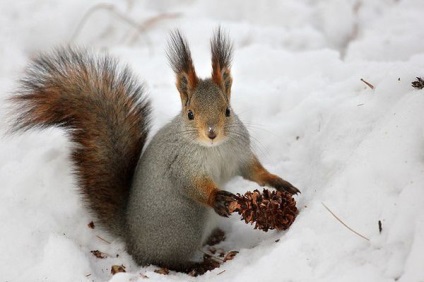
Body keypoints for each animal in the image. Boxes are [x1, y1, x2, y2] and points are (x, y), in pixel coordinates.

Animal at [9, 28, 298, 270]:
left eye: (227, 111)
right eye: (190, 114)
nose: (212, 133)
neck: (213, 149)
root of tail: (132, 239)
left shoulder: (239, 154)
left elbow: (254, 171)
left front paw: (279, 182)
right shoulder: (181, 164)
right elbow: (191, 184)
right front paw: (217, 197)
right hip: (184, 224)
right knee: (159, 260)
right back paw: (194, 265)